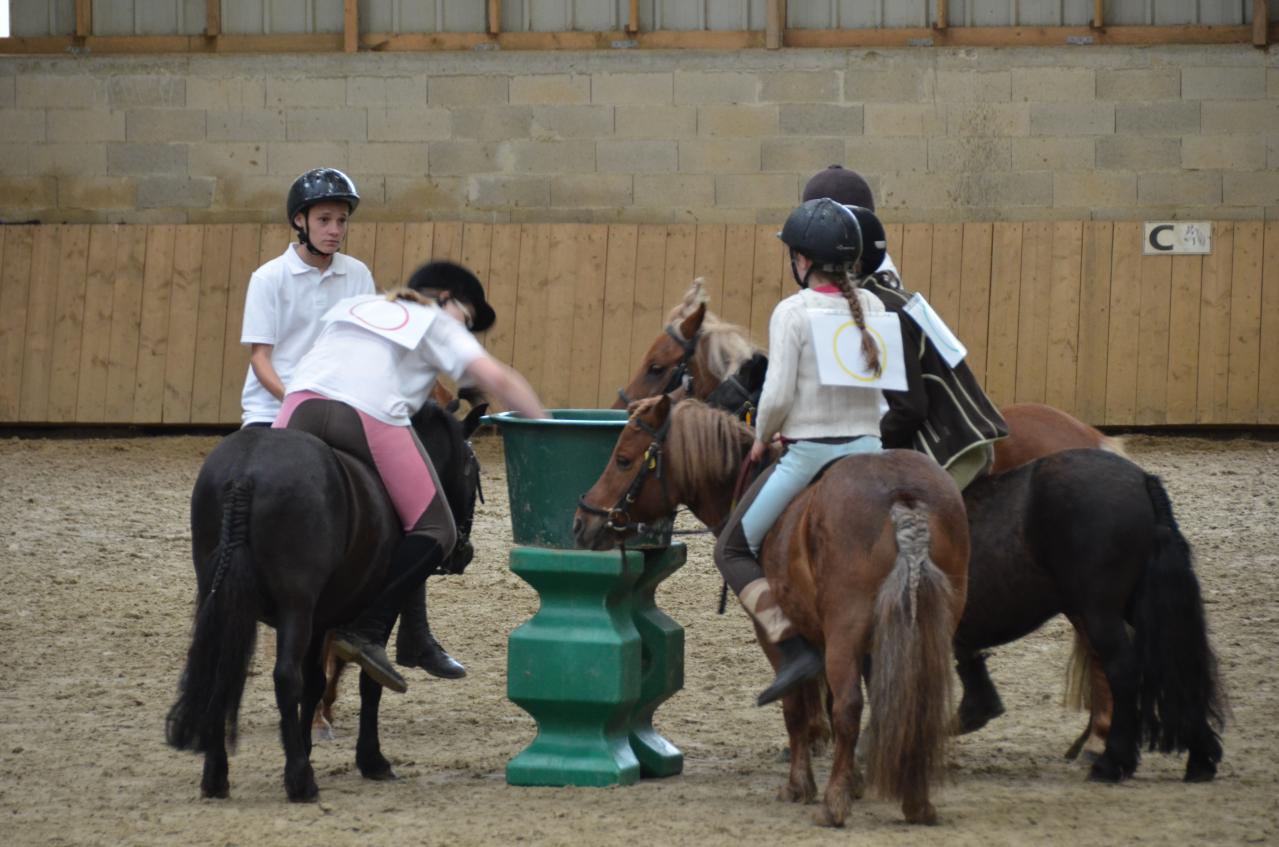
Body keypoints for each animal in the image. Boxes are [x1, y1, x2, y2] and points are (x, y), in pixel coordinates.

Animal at [168, 404, 483, 803]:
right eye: (472, 468)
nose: (463, 553)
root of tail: (245, 472)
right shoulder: (359, 618)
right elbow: (368, 681)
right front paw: (371, 760)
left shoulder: (321, 622)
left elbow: (315, 682)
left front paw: (305, 743)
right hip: (295, 606)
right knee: (285, 677)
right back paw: (301, 781)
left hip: (224, 601)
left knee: (221, 669)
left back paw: (216, 776)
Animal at [575, 399, 961, 829]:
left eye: (624, 460)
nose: (582, 522)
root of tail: (901, 495)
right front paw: (855, 780)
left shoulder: (782, 638)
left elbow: (797, 707)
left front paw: (800, 785)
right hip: (926, 628)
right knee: (916, 704)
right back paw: (916, 801)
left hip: (847, 630)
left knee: (849, 707)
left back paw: (834, 805)